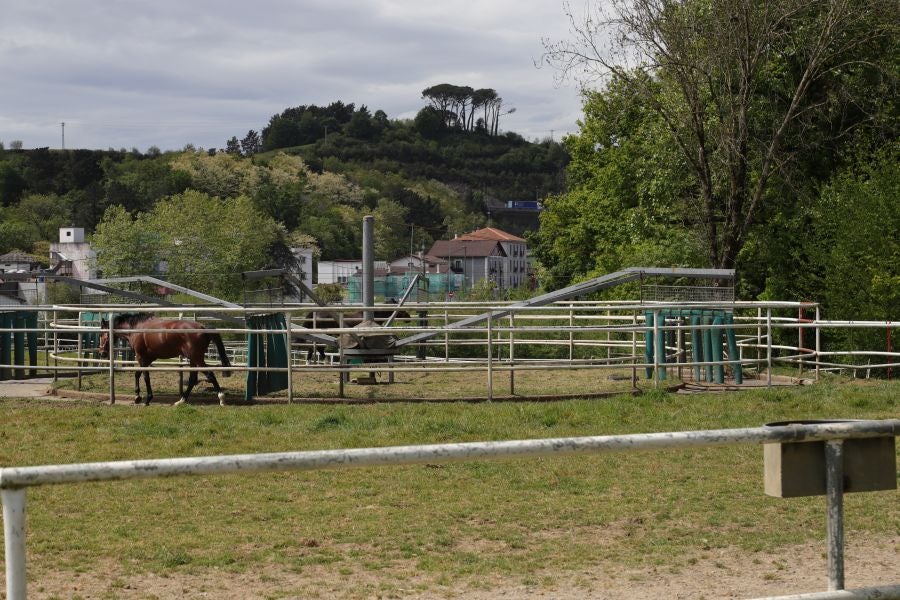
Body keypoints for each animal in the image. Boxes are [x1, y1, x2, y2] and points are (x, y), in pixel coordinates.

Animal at [99, 312, 232, 406]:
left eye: (101, 334)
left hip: (197, 358)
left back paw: (221, 399)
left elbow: (145, 377)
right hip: (193, 359)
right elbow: (138, 374)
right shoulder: (147, 359)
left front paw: (147, 399)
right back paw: (181, 401)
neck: (136, 328)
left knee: (210, 375)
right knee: (192, 379)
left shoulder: (141, 357)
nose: (102, 353)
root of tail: (203, 328)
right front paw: (137, 397)